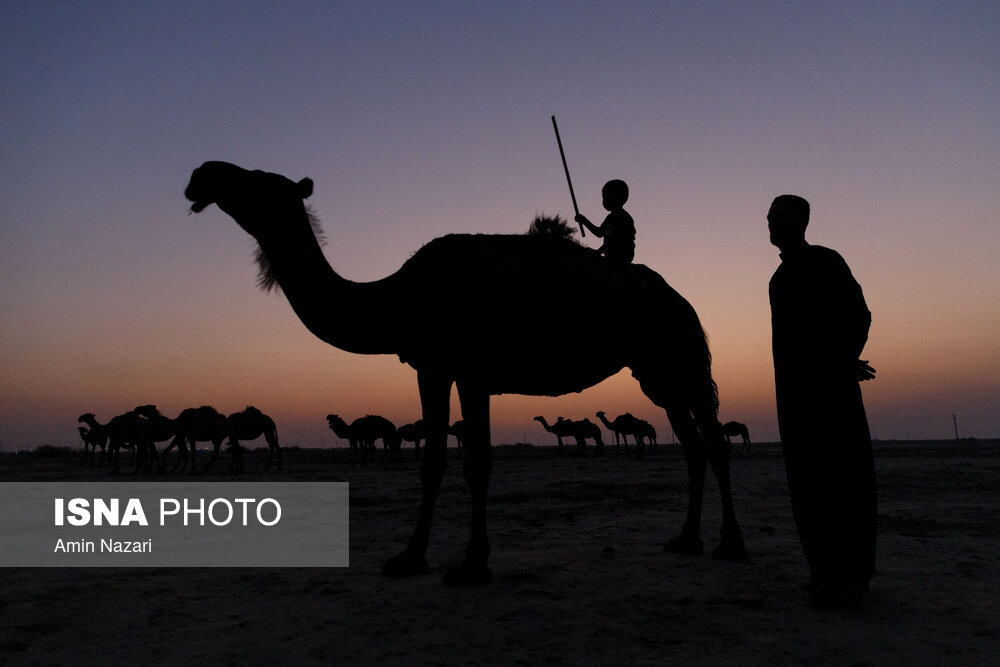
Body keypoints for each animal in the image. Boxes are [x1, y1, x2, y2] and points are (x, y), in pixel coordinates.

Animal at [186, 164, 744, 588]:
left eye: (256, 180)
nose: (201, 176)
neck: (402, 297)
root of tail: (685, 303)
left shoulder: (474, 372)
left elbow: (477, 462)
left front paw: (473, 565)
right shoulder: (432, 369)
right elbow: (432, 462)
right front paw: (409, 559)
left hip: (683, 354)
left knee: (715, 440)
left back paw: (730, 543)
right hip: (657, 372)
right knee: (692, 442)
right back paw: (687, 539)